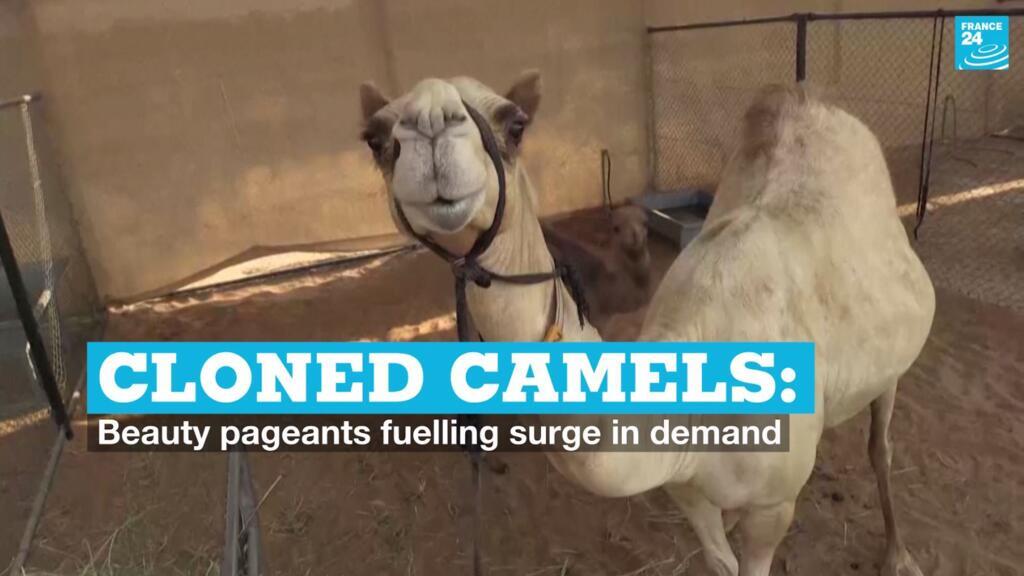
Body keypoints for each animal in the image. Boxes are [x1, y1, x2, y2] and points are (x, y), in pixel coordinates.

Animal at [358, 73, 935, 576]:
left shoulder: (773, 504)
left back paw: (899, 555)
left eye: (515, 123)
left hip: (890, 360)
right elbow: (720, 559)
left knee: (880, 447)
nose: (431, 125)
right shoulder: (684, 487)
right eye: (375, 139)